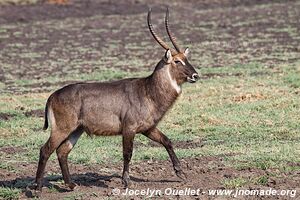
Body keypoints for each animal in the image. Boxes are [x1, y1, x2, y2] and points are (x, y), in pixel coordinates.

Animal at [34, 8, 199, 191]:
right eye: (177, 61)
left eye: (186, 59)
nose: (195, 75)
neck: (148, 90)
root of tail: (52, 95)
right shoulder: (129, 128)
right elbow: (127, 153)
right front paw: (126, 181)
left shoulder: (148, 128)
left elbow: (167, 141)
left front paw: (180, 173)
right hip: (61, 129)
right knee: (45, 150)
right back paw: (37, 188)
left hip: (76, 130)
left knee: (62, 152)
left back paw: (70, 185)